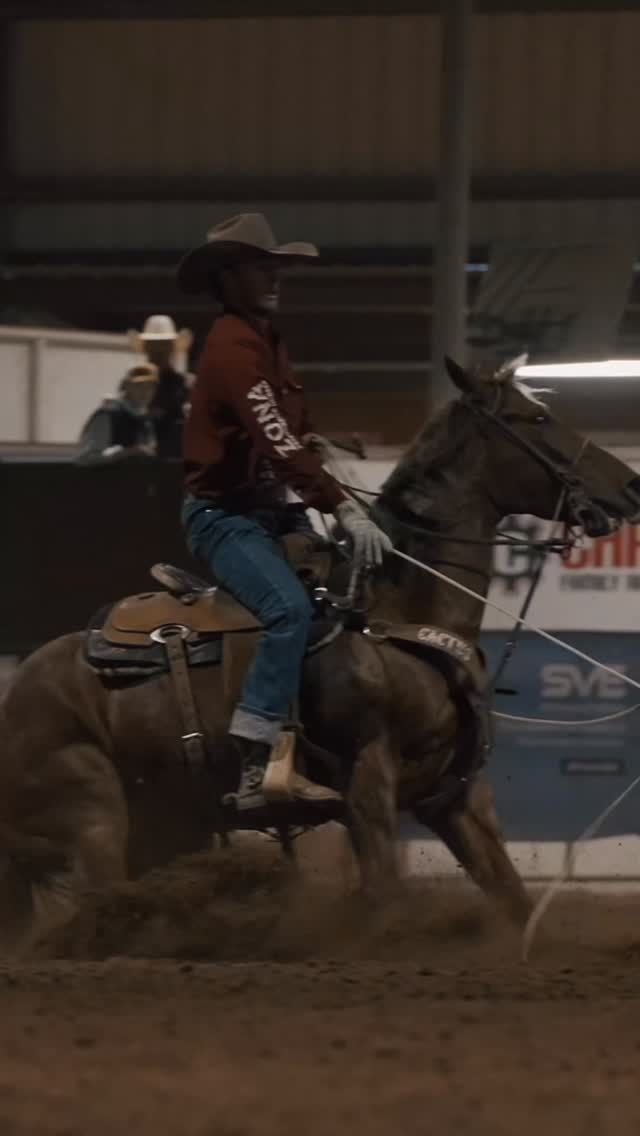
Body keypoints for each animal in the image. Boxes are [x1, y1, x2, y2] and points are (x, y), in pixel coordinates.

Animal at [1, 356, 639, 954]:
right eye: (537, 418)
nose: (631, 485)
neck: (397, 606)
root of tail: (18, 690)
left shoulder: (454, 796)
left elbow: (510, 895)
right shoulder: (366, 773)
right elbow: (383, 890)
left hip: (162, 821)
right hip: (93, 811)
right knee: (99, 898)